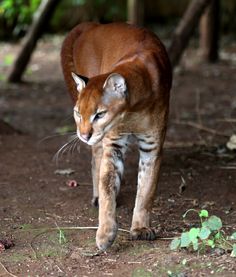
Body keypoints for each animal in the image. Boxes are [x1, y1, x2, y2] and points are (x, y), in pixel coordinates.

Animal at [60, 22, 171, 250]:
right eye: (78, 113)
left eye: (99, 114)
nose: (84, 134)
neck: (133, 110)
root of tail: (93, 24)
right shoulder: (113, 145)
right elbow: (107, 185)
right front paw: (105, 233)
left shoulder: (152, 147)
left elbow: (146, 190)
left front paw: (140, 228)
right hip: (100, 142)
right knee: (96, 158)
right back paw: (96, 197)